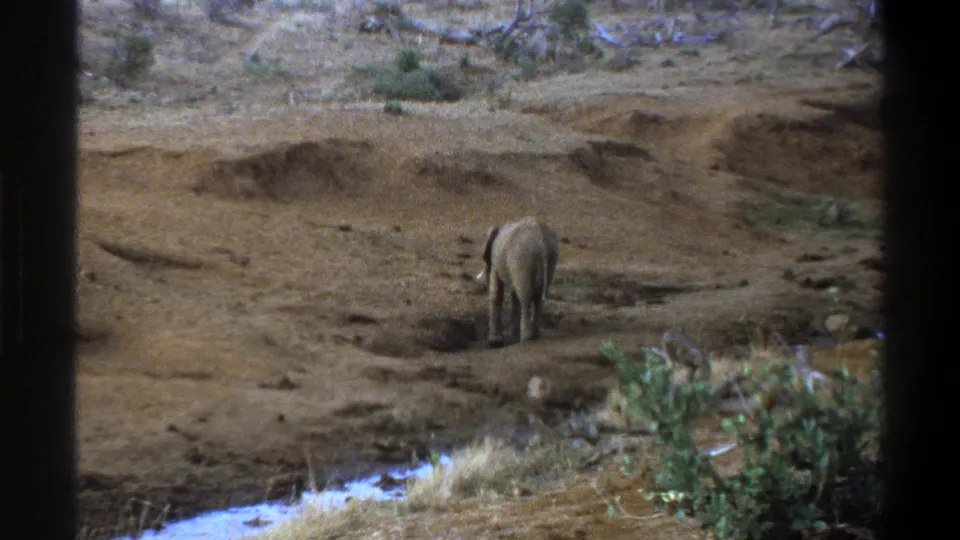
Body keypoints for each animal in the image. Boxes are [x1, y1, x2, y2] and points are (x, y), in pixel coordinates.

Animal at [476, 216, 559, 347]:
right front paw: (510, 335)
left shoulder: (496, 260)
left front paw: (494, 342)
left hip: (521, 258)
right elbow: (513, 293)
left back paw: (526, 338)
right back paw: (535, 335)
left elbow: (497, 293)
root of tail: (541, 239)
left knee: (525, 297)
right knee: (538, 298)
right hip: (550, 257)